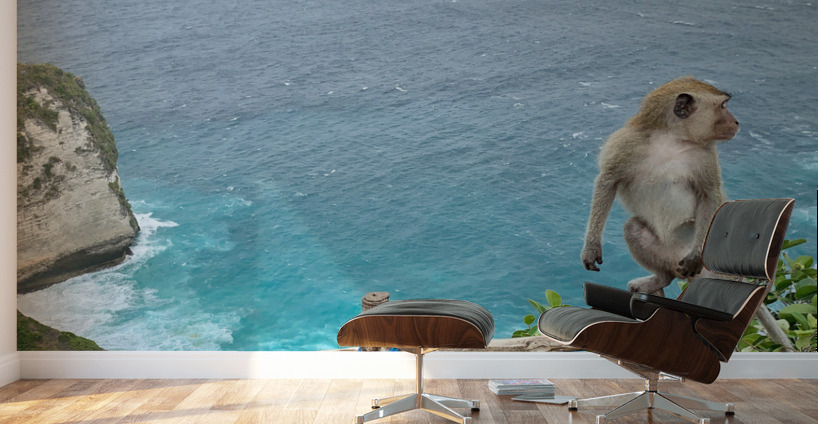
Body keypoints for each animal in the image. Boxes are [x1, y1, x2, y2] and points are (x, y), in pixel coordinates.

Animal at [581, 77, 739, 294]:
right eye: (723, 106)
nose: (736, 122)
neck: (671, 140)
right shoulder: (626, 144)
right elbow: (607, 181)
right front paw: (591, 247)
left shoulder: (705, 155)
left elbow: (710, 195)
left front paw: (696, 255)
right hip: (667, 256)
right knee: (634, 229)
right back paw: (660, 279)